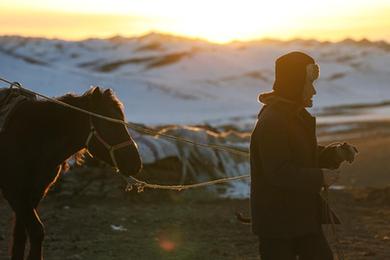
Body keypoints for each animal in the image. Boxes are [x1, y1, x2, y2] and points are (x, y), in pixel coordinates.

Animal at [0, 87, 142, 260]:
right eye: (110, 123)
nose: (136, 164)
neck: (32, 137)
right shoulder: (14, 192)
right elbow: (36, 231)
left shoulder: (35, 193)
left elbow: (20, 236)